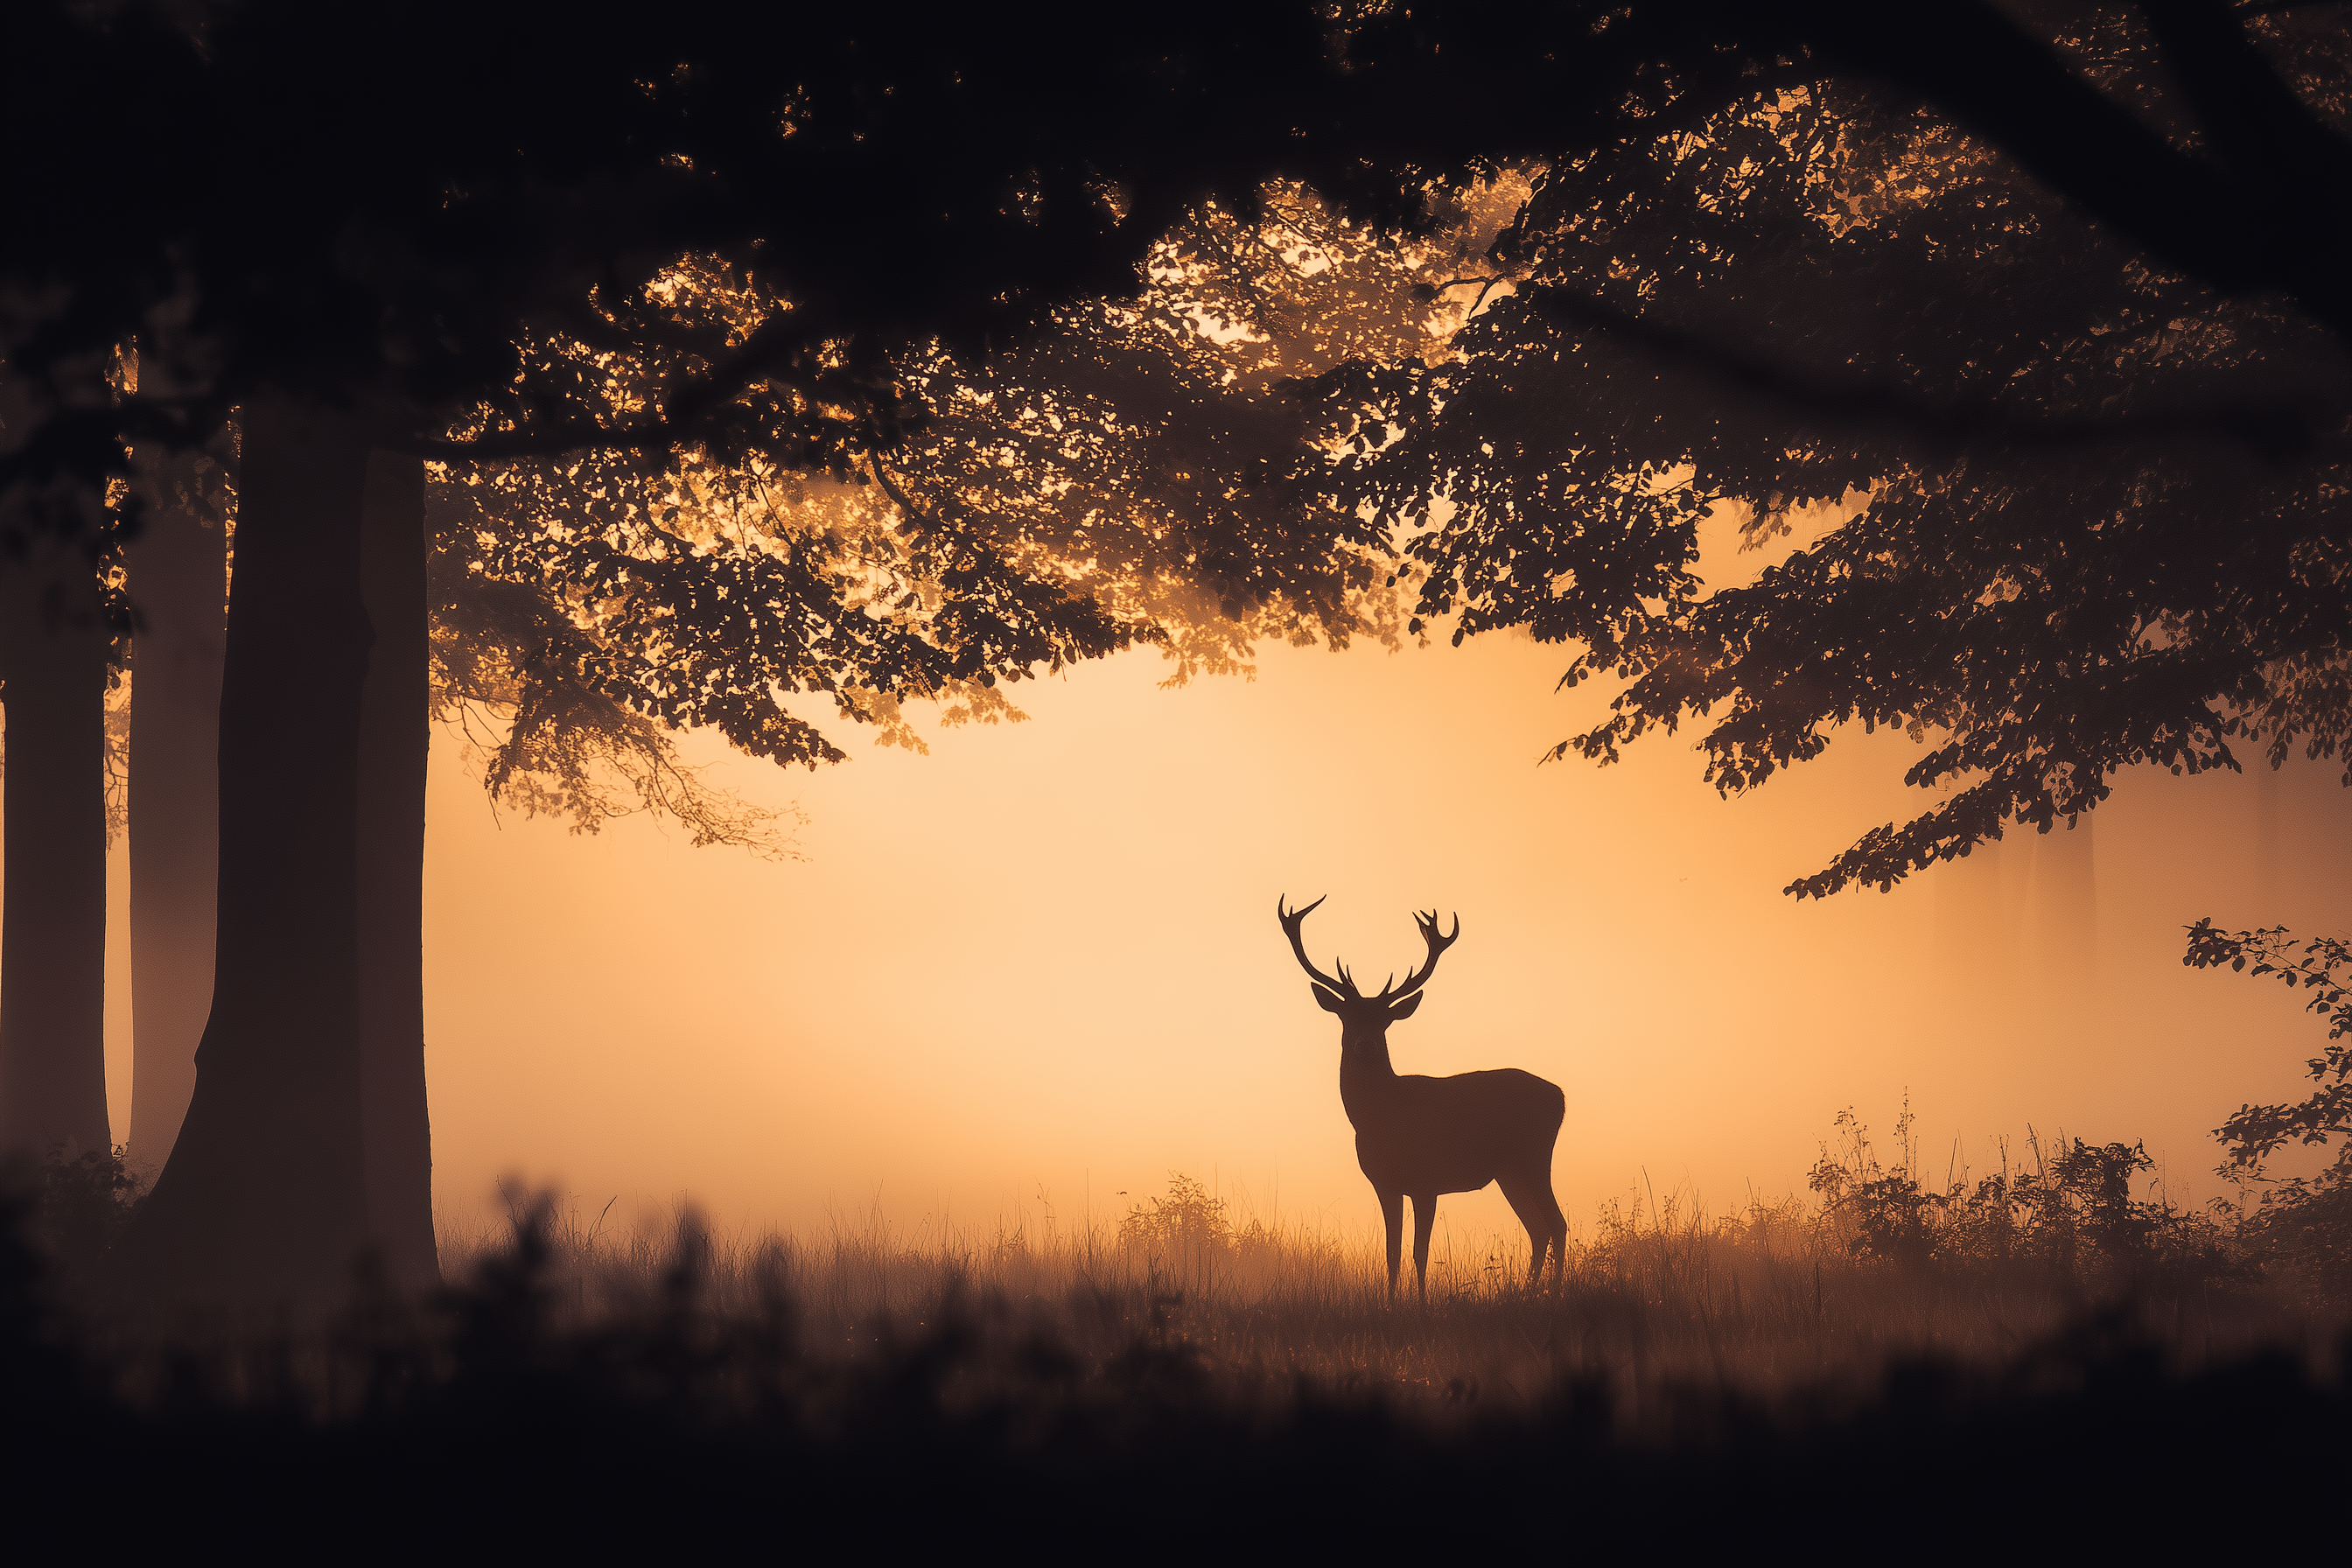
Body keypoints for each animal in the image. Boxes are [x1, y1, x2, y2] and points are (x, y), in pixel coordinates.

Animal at [1277, 896, 1568, 1302]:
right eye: (1346, 1017)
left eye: (1385, 1020)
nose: (1365, 1045)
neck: (1380, 1115)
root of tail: (1561, 1096)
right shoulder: (1385, 1184)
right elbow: (1392, 1252)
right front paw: (1390, 1305)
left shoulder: (1427, 1181)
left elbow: (1420, 1252)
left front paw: (1422, 1305)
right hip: (1509, 1171)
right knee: (1538, 1228)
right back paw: (1526, 1294)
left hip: (1534, 1157)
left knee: (1557, 1224)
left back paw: (1553, 1295)